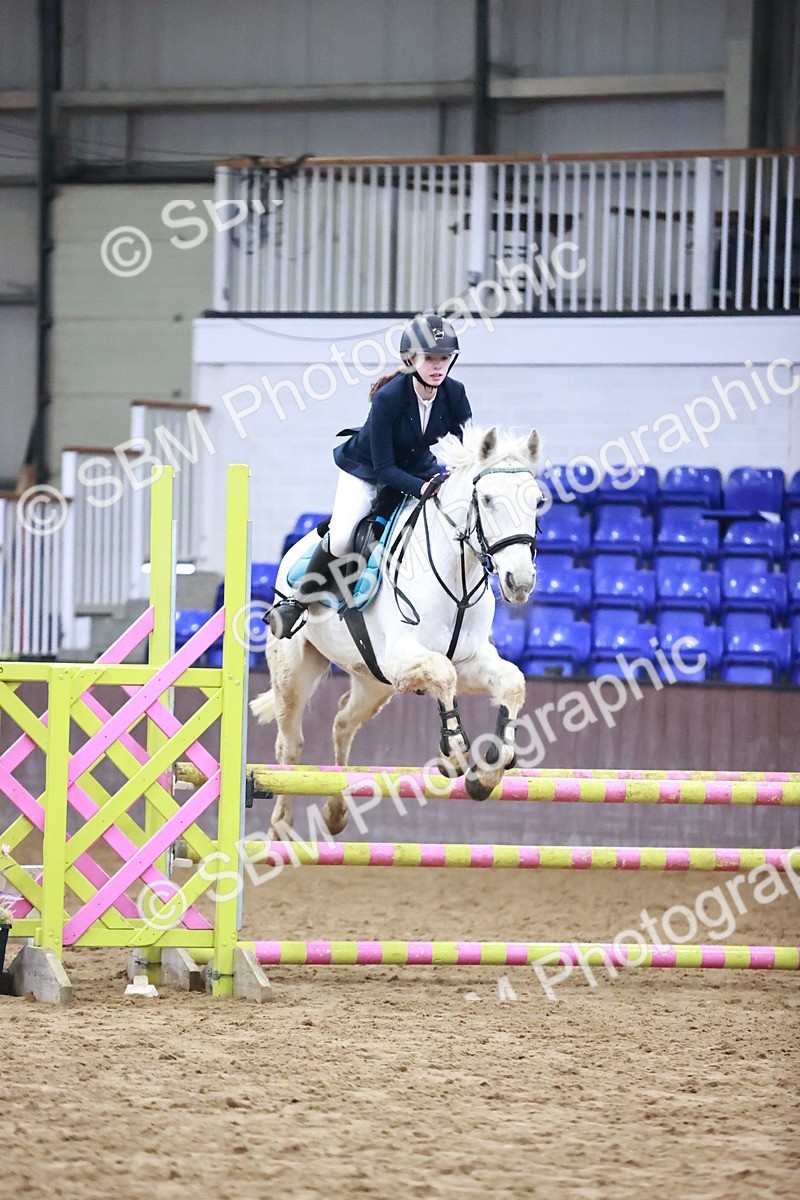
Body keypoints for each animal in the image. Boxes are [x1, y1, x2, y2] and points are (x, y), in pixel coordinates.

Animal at [251, 425, 543, 836]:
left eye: (538, 501)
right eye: (486, 500)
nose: (520, 582)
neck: (457, 579)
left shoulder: (468, 661)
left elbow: (511, 682)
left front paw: (487, 773)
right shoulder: (402, 657)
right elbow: (444, 674)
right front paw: (455, 754)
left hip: (373, 682)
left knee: (342, 723)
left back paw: (336, 812)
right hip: (294, 672)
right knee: (289, 745)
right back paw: (281, 826)